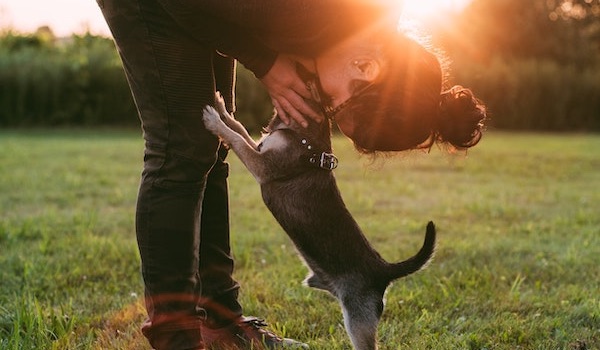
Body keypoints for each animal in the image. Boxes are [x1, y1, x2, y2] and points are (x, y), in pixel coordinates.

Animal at [202, 93, 436, 350]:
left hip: (358, 319)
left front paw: (214, 121)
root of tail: (383, 270)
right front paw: (222, 109)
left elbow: (237, 139)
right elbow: (239, 129)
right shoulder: (259, 148)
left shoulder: (262, 165)